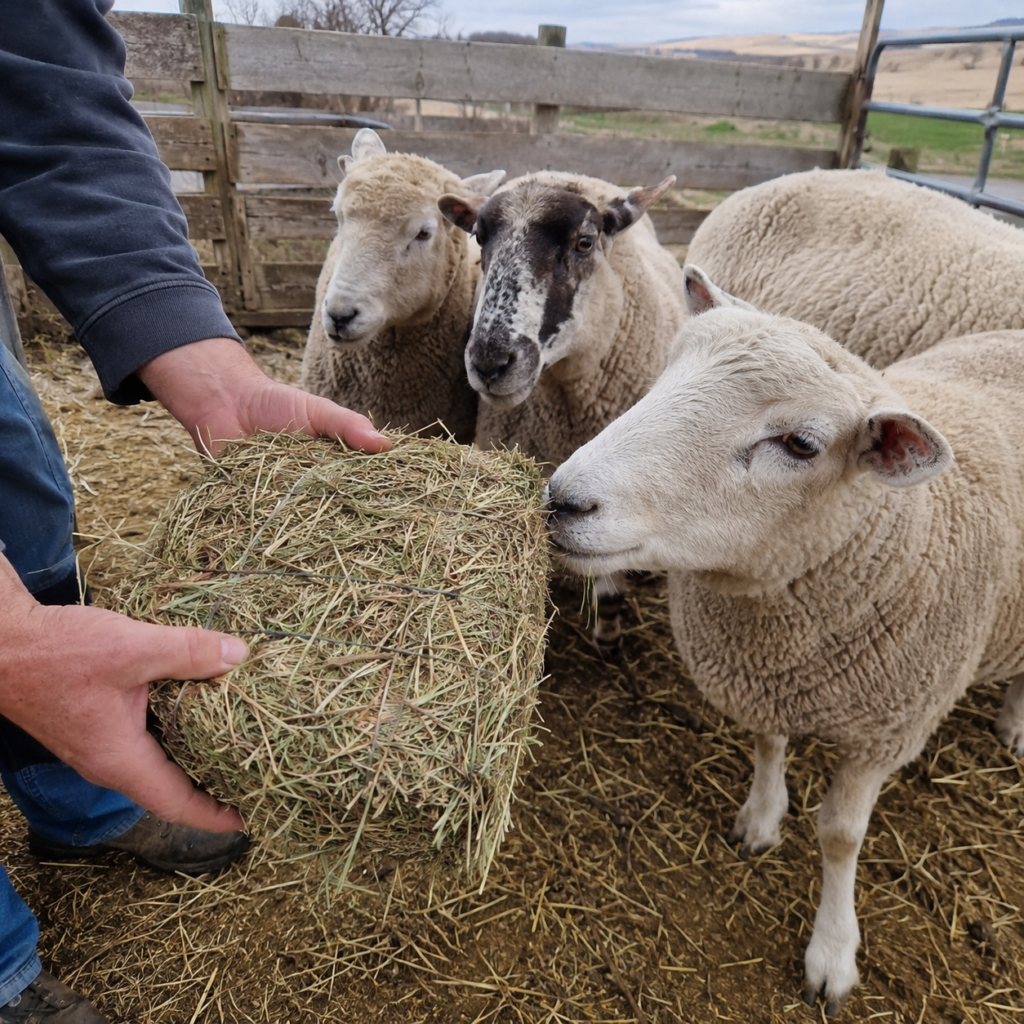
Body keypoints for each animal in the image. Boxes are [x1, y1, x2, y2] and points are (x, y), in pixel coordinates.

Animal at [546, 264, 1024, 1013]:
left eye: (800, 445)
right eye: (664, 375)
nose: (564, 499)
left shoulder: (885, 729)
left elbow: (841, 837)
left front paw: (832, 953)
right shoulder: (767, 679)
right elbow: (768, 744)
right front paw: (761, 821)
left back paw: (1014, 725)